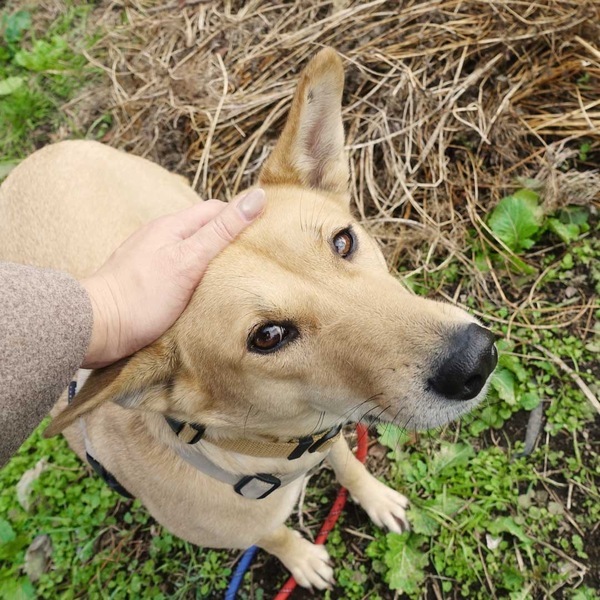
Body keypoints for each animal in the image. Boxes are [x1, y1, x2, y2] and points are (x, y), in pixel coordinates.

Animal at [0, 48, 497, 589]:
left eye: (344, 241)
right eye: (269, 336)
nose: (475, 360)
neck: (262, 451)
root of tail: (38, 157)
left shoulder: (328, 430)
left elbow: (348, 462)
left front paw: (374, 495)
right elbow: (273, 535)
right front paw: (302, 559)